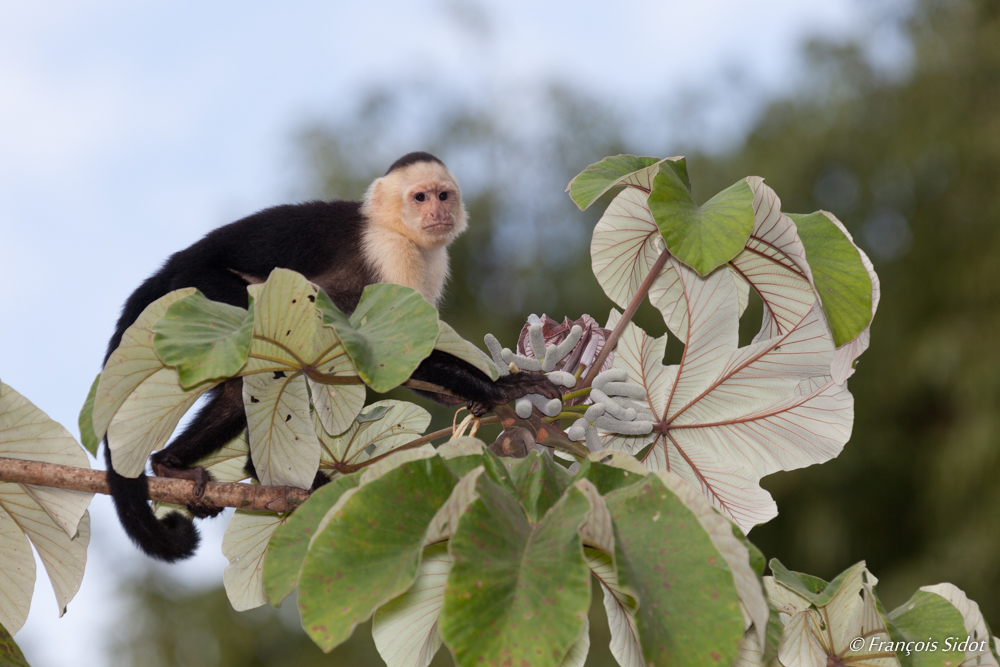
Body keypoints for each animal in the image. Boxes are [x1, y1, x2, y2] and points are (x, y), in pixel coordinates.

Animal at [107, 153, 564, 564]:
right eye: (419, 197)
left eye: (443, 195)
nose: (437, 212)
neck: (393, 227)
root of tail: (173, 265)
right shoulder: (389, 252)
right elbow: (391, 352)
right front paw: (503, 387)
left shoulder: (432, 263)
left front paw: (470, 399)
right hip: (202, 289)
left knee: (242, 388)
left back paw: (171, 466)